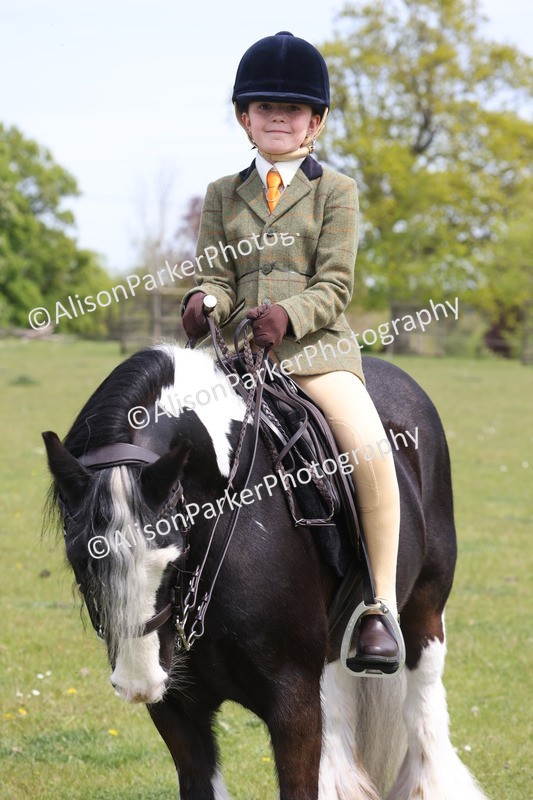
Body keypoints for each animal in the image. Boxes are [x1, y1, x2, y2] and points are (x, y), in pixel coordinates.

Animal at [43, 341, 488, 800]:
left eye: (173, 558)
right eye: (80, 560)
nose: (139, 679)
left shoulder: (293, 702)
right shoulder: (179, 711)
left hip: (425, 610)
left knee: (424, 707)